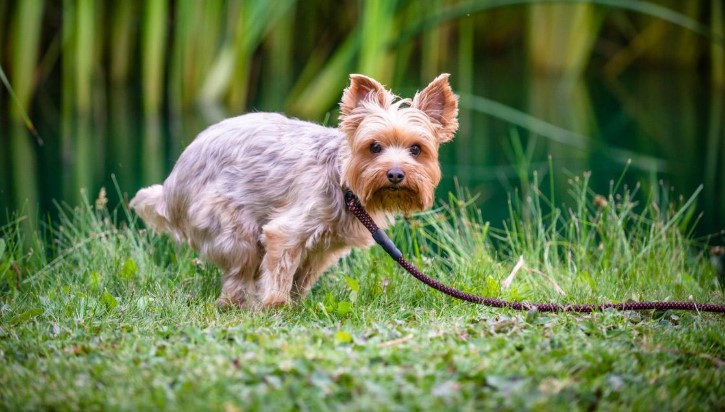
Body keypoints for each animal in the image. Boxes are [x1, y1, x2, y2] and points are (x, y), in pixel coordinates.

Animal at [130, 72, 458, 308]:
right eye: (374, 147)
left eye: (416, 149)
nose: (395, 174)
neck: (343, 182)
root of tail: (171, 189)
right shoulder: (286, 232)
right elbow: (279, 271)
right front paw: (276, 305)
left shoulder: (322, 250)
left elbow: (302, 277)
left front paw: (297, 304)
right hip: (230, 224)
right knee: (239, 272)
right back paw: (237, 303)